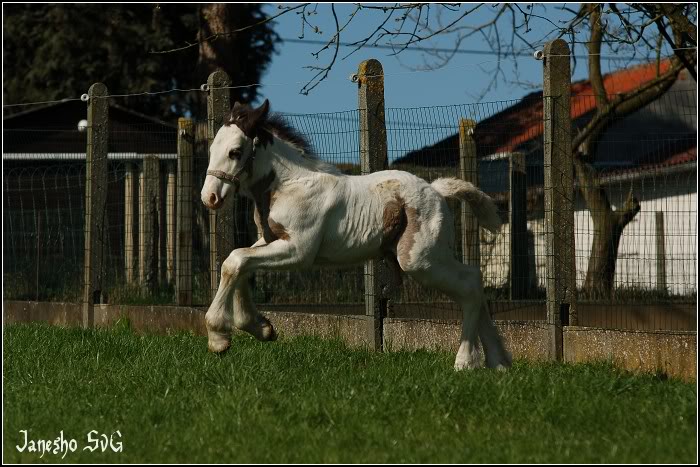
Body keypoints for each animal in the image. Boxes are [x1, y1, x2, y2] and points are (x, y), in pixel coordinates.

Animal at [200, 99, 512, 372]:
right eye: (212, 148)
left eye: (235, 152)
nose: (209, 198)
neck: (290, 185)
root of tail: (436, 190)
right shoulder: (269, 241)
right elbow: (238, 261)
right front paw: (261, 328)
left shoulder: (299, 251)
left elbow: (235, 261)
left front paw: (218, 337)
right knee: (473, 282)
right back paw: (498, 361)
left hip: (420, 260)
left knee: (469, 284)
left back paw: (466, 362)